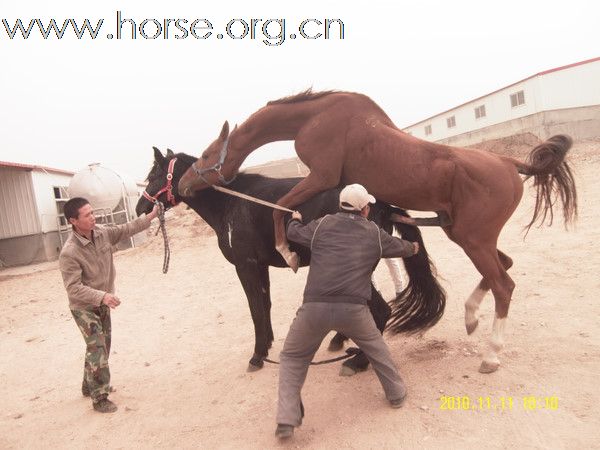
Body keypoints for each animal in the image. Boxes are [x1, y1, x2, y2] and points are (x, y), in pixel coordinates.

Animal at [136, 148, 446, 372]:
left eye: (153, 174)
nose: (140, 207)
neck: (233, 203)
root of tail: (377, 201)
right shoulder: (259, 266)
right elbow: (265, 305)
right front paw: (267, 345)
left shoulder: (245, 266)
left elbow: (255, 309)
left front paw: (257, 356)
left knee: (381, 310)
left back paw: (358, 361)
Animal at [178, 89, 576, 372]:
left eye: (205, 155)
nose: (182, 185)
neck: (317, 117)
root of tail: (510, 163)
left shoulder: (321, 177)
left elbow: (283, 209)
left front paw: (288, 252)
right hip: (466, 236)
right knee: (502, 268)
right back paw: (469, 316)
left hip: (474, 240)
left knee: (504, 285)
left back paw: (491, 356)